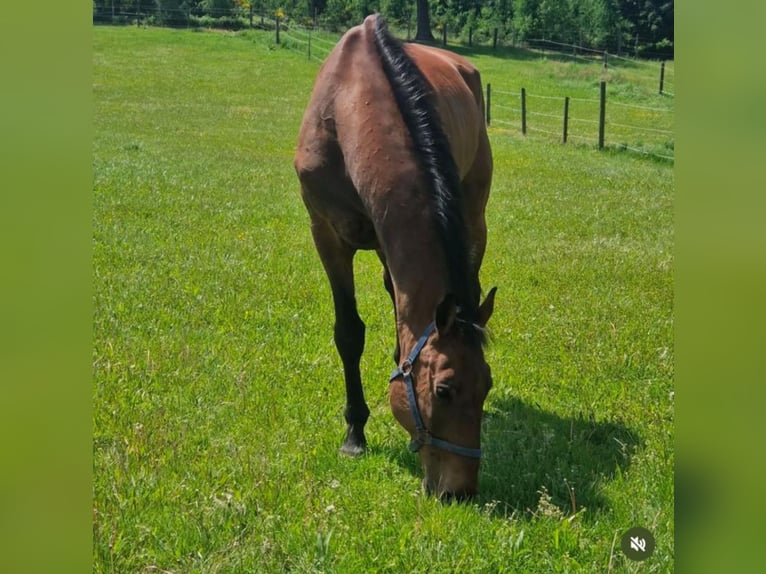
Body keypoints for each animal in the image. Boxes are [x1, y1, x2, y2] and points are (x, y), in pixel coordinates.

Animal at [294, 12, 498, 500]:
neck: (348, 103)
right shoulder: (327, 236)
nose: (460, 492)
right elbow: (349, 332)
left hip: (473, 216)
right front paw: (354, 433)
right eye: (444, 390)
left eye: (487, 386)